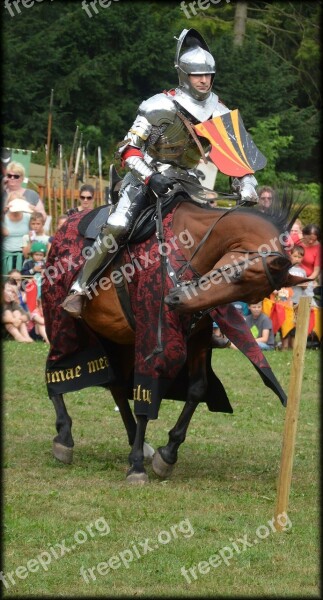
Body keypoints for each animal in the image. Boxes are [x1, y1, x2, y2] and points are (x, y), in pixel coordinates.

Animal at [45, 192, 306, 482]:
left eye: (252, 297)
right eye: (237, 273)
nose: (177, 299)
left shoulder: (198, 339)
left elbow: (197, 389)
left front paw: (167, 454)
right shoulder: (154, 334)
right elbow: (150, 385)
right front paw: (137, 466)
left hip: (119, 339)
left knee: (117, 385)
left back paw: (133, 437)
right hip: (62, 322)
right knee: (57, 366)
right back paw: (64, 435)